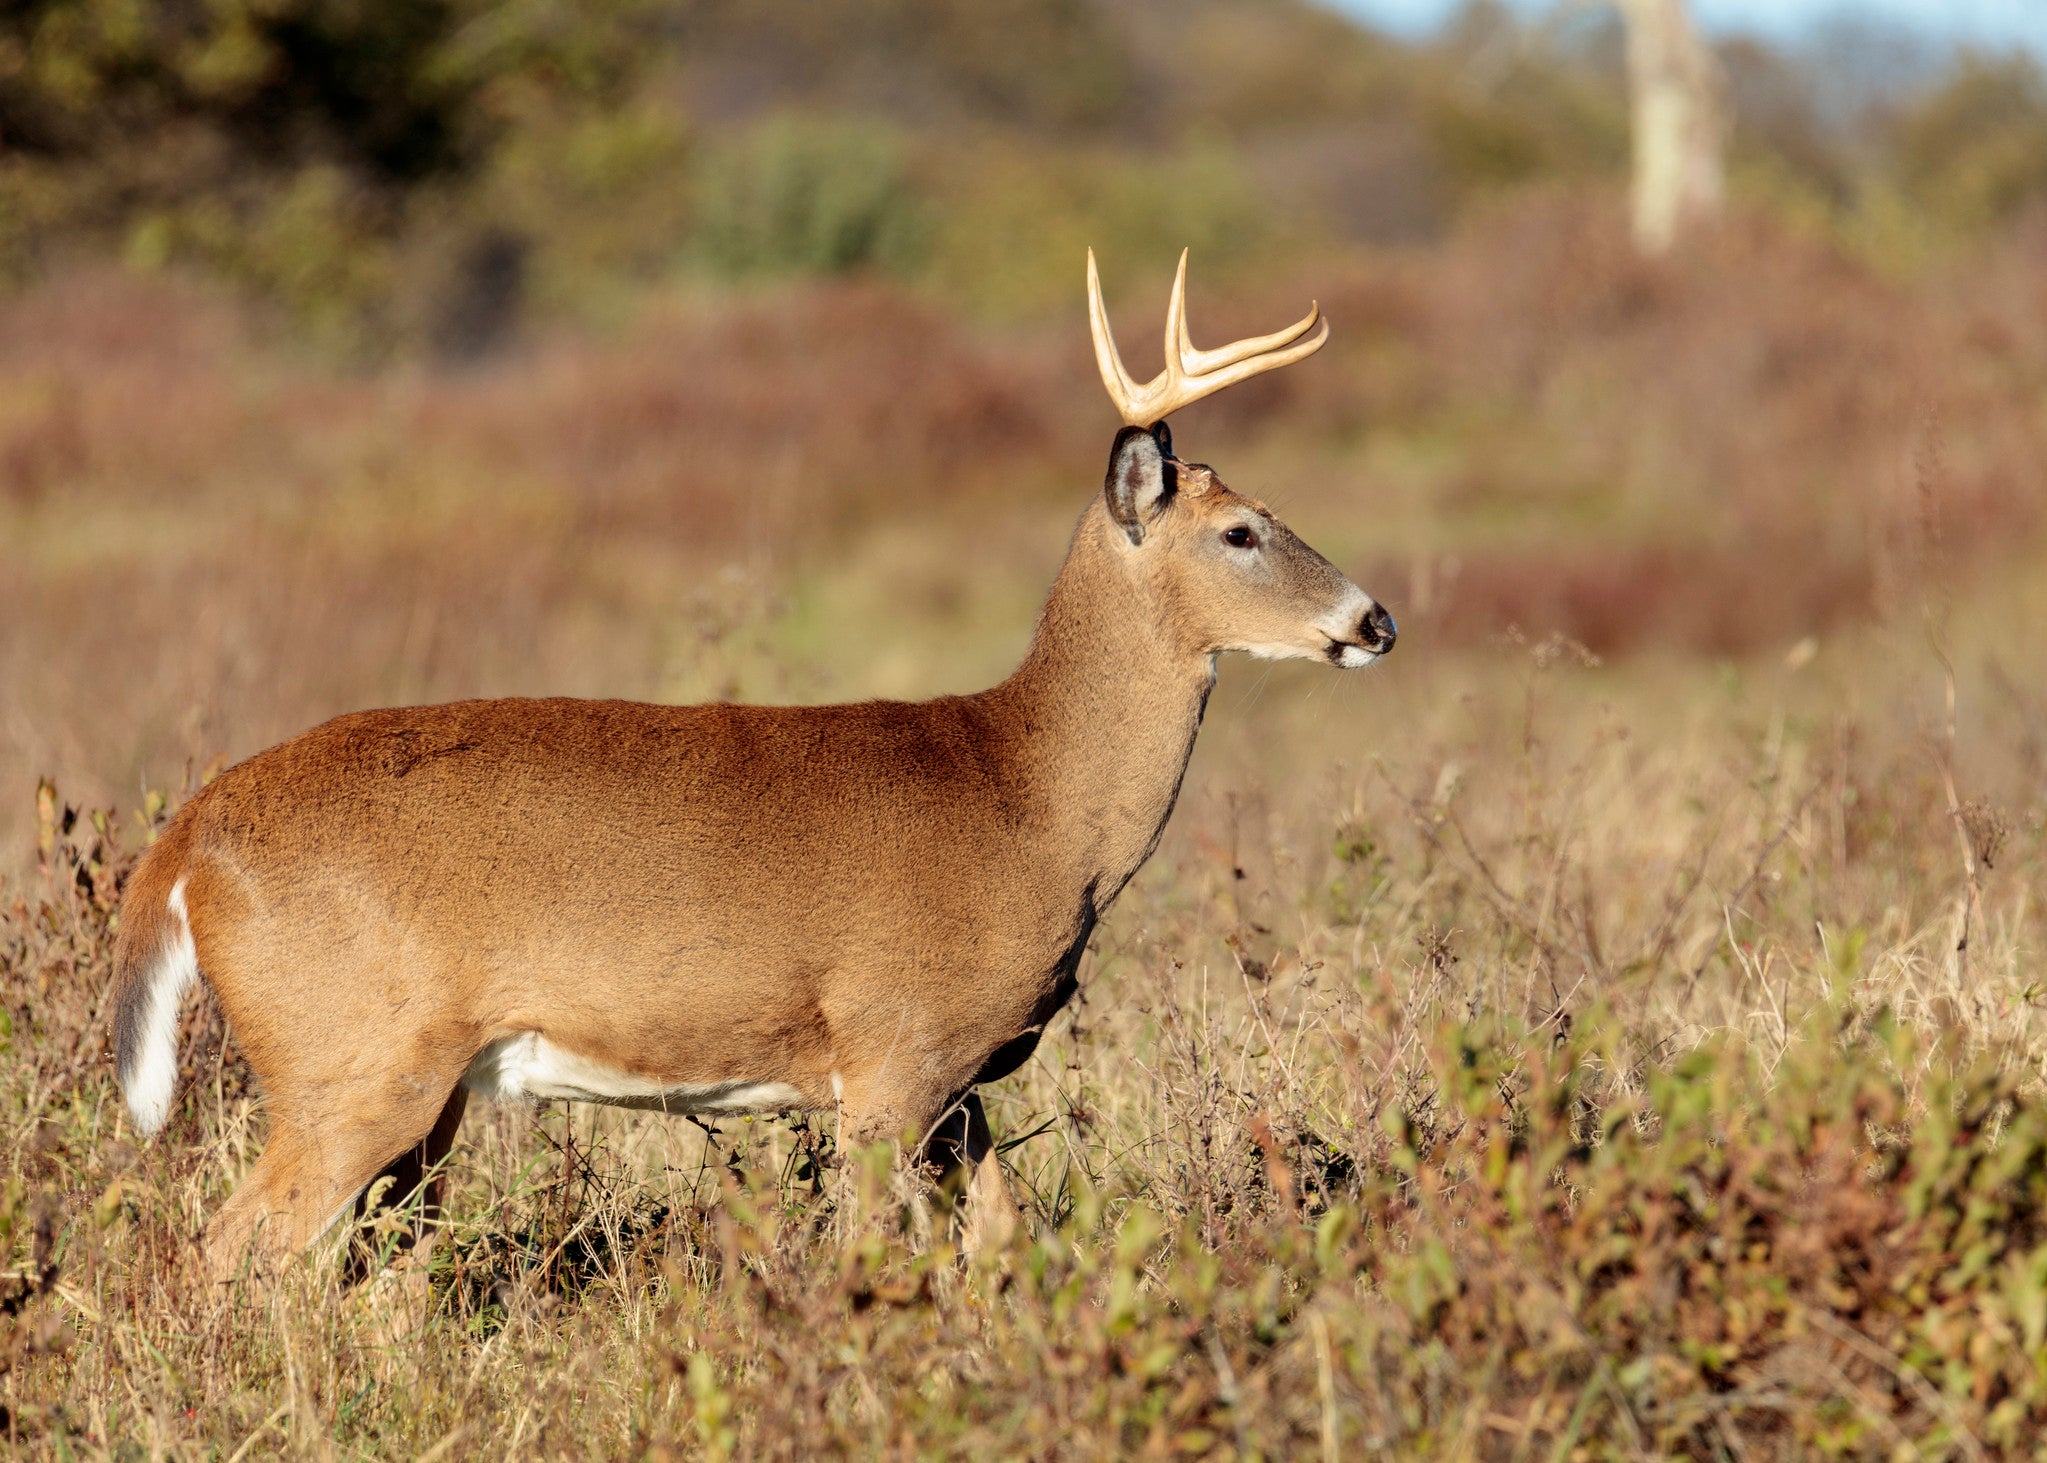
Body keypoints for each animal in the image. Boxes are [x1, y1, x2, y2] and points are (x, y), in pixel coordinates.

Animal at [108, 250, 1396, 1283]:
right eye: (1241, 531)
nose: (1375, 618)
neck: (1027, 798)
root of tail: (185, 839)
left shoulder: (960, 1087)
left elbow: (1002, 1243)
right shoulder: (893, 1050)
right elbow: (875, 1258)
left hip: (409, 1095)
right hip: (352, 1059)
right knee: (222, 1253)